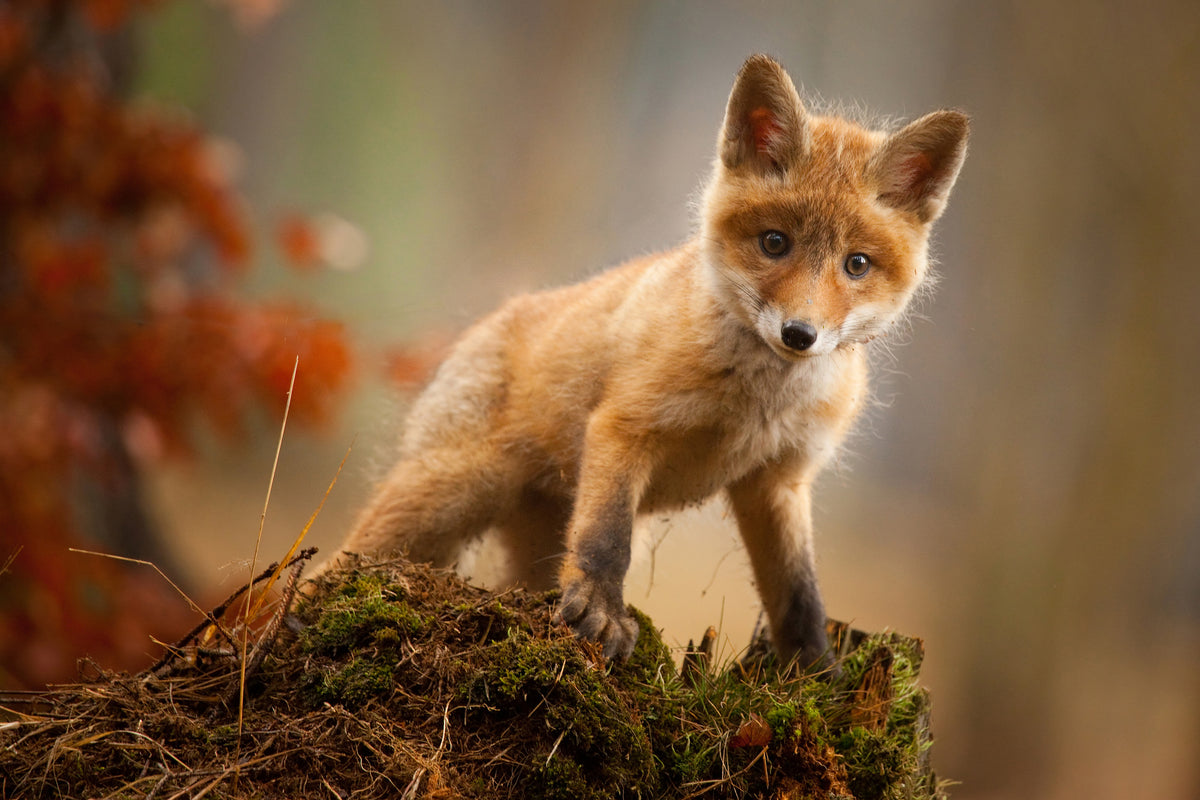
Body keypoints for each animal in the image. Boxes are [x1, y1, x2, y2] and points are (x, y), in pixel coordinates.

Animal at [316, 54, 968, 666]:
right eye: (774, 243)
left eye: (856, 264)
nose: (799, 334)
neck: (756, 402)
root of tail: (488, 322)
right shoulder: (625, 427)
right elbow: (607, 540)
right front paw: (602, 615)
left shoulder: (778, 480)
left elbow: (799, 595)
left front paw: (816, 676)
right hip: (449, 493)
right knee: (339, 561)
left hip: (527, 538)